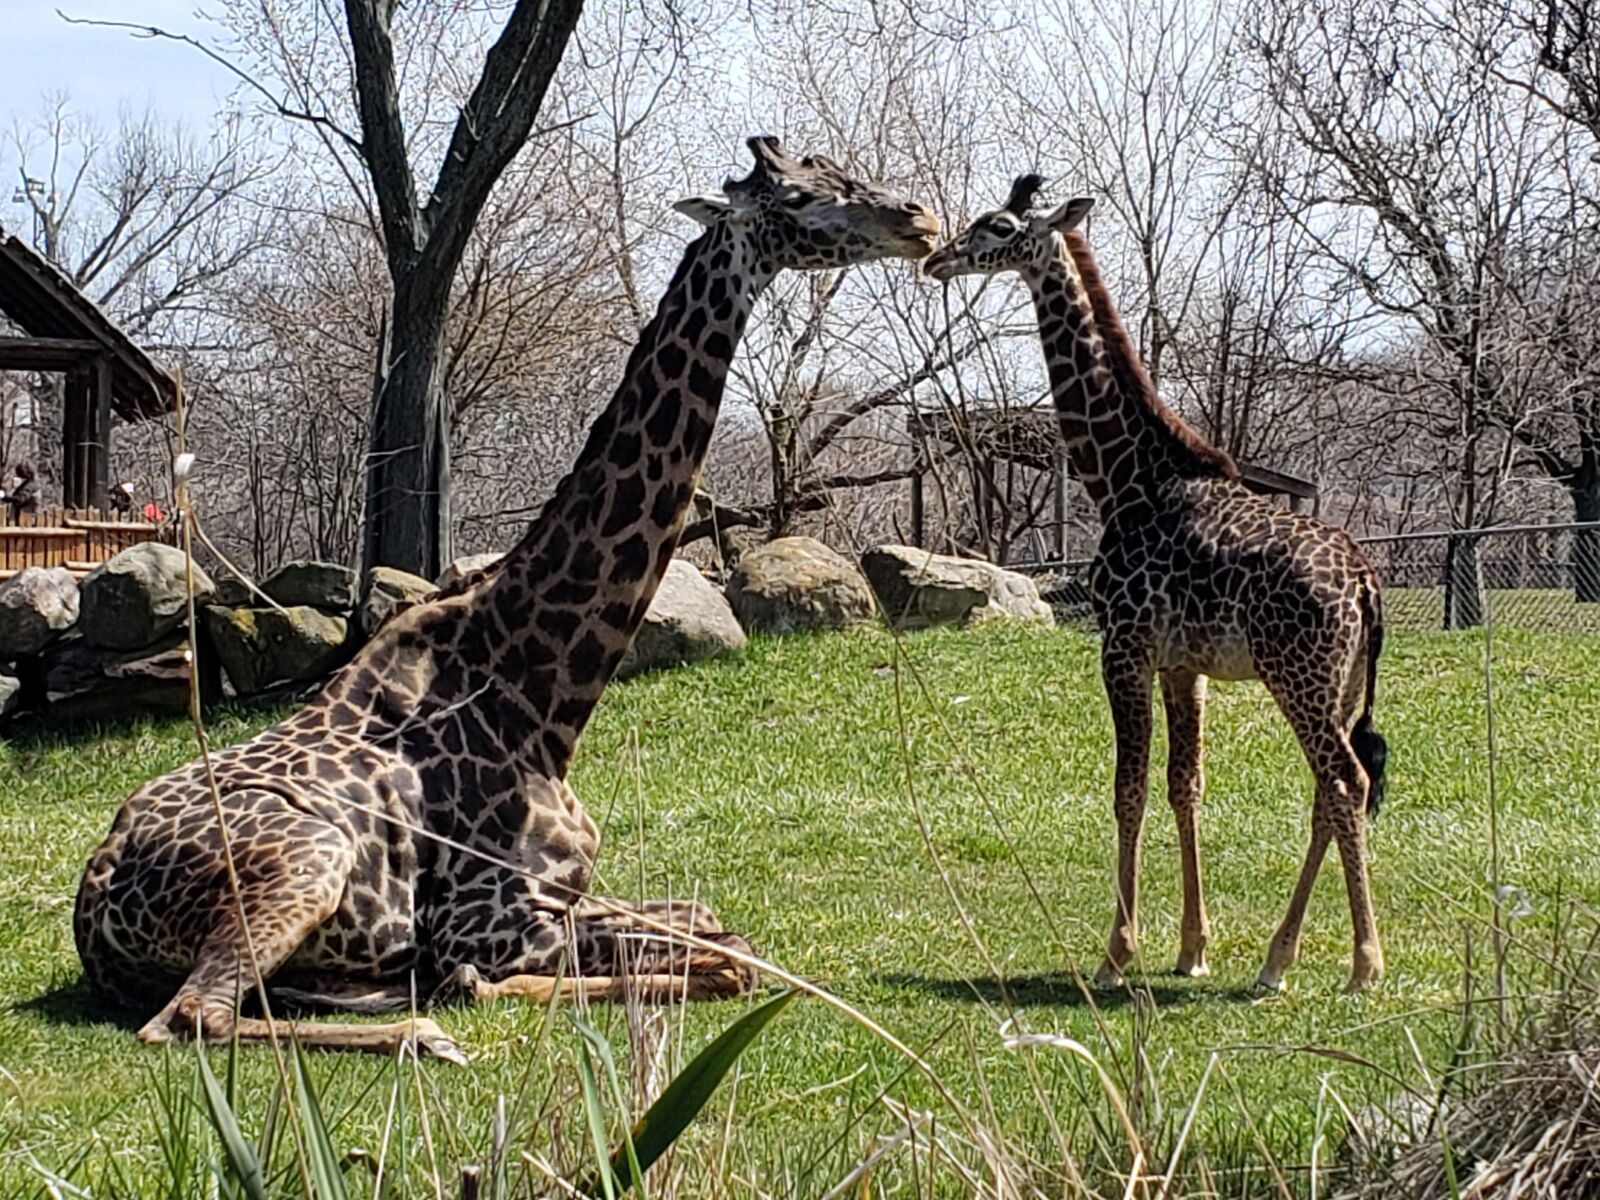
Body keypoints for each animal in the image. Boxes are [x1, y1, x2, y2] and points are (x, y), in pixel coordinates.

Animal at [73, 136, 940, 1062]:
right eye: (799, 197)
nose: (919, 220)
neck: (540, 697)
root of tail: (93, 912)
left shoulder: (569, 896)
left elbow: (716, 926)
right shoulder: (495, 919)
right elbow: (724, 959)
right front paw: (484, 987)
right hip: (306, 858)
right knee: (190, 1015)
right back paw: (425, 1029)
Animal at [924, 175, 1389, 992]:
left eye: (999, 226)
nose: (937, 258)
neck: (1124, 475)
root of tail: (1364, 582)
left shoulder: (1123, 645)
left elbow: (1127, 790)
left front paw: (1116, 953)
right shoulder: (1183, 665)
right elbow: (1184, 786)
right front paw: (1192, 948)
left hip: (1297, 677)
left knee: (1345, 784)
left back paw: (1363, 963)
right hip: (1337, 684)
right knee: (1331, 792)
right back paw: (1276, 959)